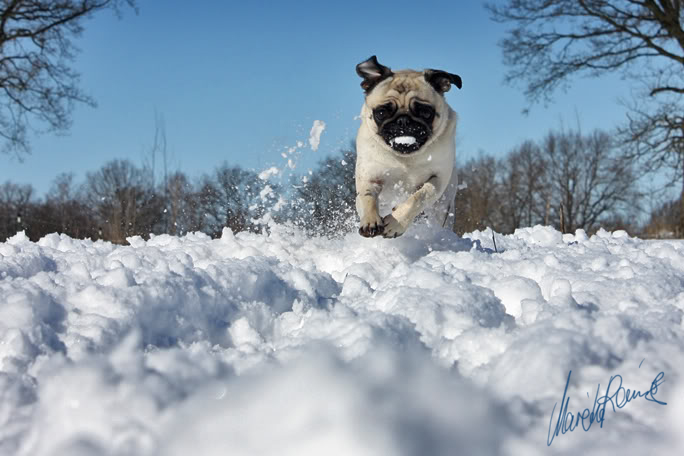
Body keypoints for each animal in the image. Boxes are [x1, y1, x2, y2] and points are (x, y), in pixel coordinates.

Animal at [356, 56, 462, 239]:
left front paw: (395, 223)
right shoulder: (369, 176)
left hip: (444, 208)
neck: (405, 158)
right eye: (381, 113)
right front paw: (370, 221)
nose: (403, 120)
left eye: (425, 112)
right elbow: (367, 197)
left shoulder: (438, 179)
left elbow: (418, 197)